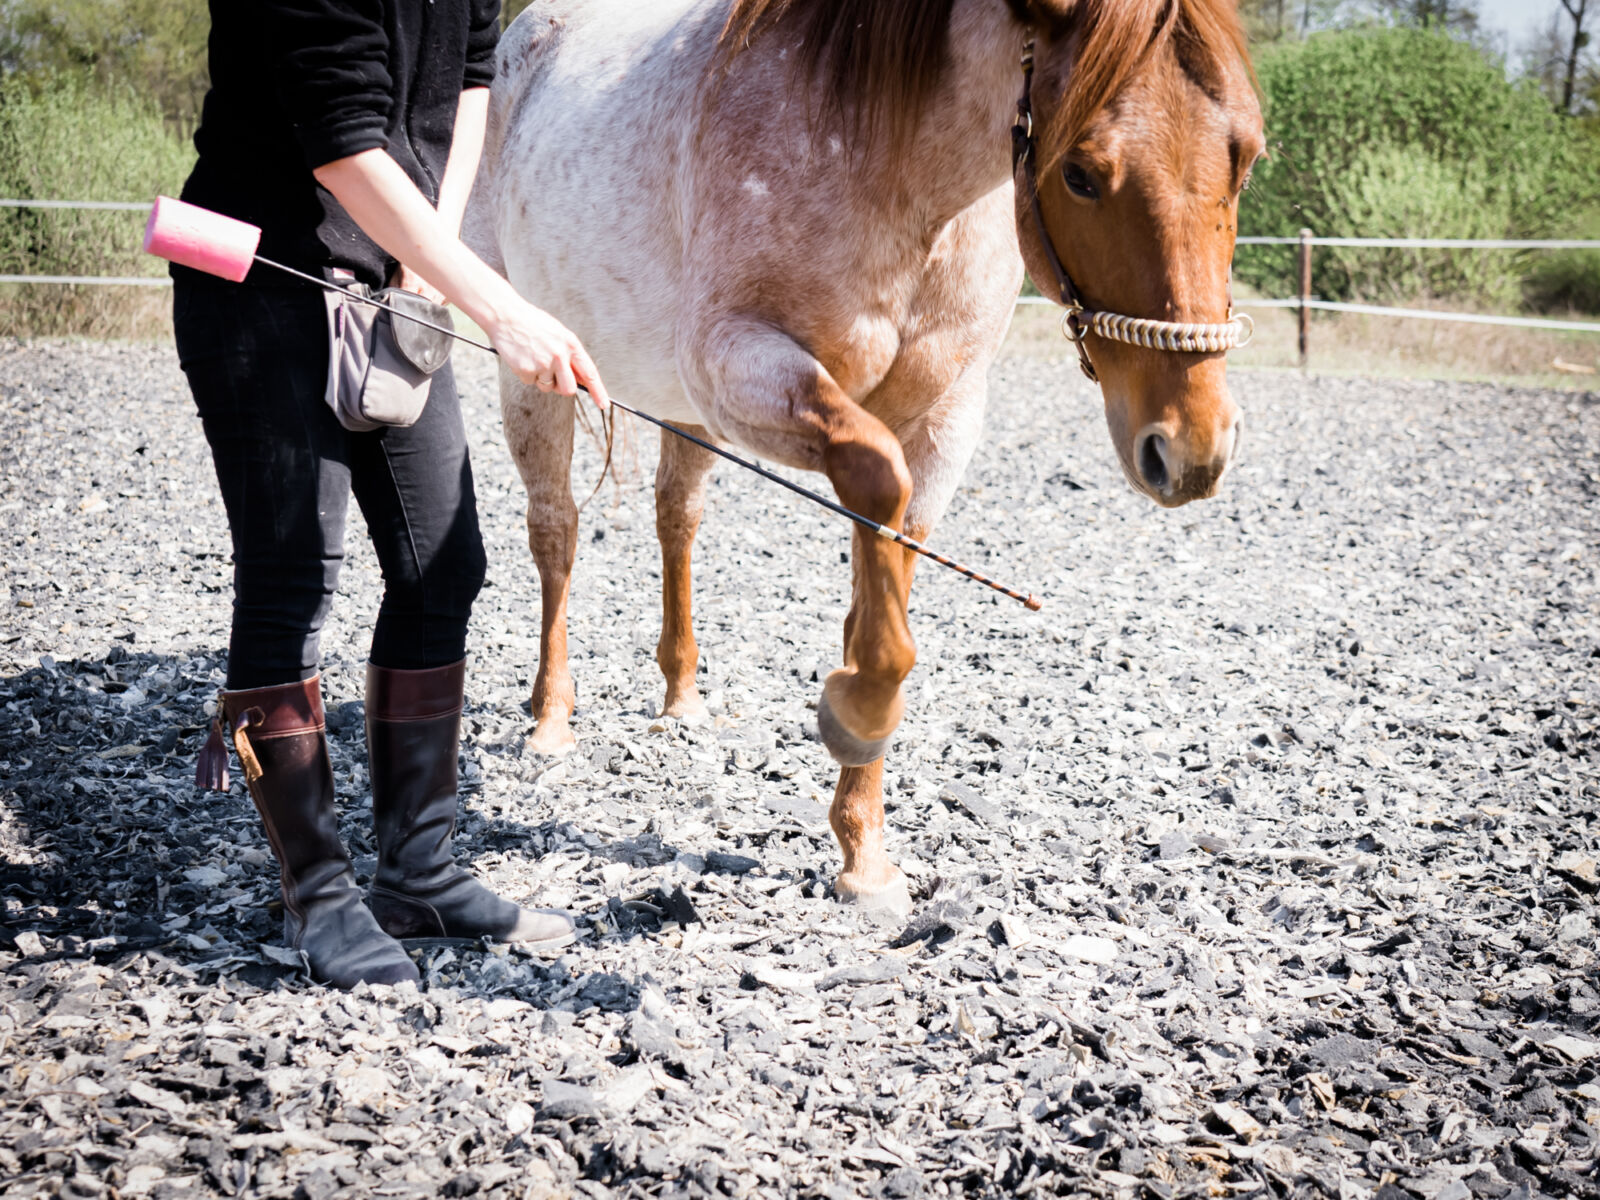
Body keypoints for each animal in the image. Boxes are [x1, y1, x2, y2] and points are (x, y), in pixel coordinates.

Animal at [464, 0, 1260, 908]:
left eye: (1245, 157)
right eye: (1083, 174)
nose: (1192, 448)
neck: (894, 166)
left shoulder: (944, 418)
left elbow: (884, 579)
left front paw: (864, 850)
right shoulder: (740, 365)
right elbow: (877, 489)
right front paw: (856, 717)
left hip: (676, 409)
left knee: (678, 520)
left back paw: (682, 696)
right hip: (536, 368)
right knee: (555, 531)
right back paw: (550, 718)